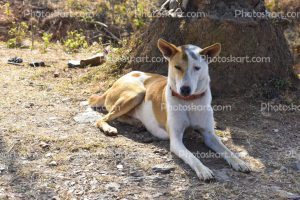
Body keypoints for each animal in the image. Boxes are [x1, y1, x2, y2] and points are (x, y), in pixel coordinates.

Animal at [89, 38, 251, 180]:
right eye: (177, 67)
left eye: (197, 68)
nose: (185, 89)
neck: (189, 102)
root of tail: (115, 82)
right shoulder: (176, 141)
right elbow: (192, 157)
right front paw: (203, 169)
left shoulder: (209, 135)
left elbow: (226, 150)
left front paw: (239, 162)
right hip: (137, 93)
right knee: (102, 118)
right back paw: (109, 128)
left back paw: (137, 123)